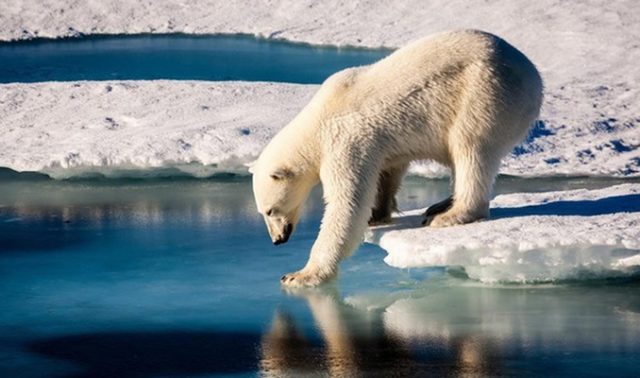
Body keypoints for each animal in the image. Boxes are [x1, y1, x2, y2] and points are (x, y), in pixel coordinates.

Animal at [252, 29, 544, 286]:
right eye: (263, 212)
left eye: (270, 210)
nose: (277, 239)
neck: (317, 121)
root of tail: (533, 76)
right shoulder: (378, 143)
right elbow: (387, 171)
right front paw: (377, 214)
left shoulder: (345, 141)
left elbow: (347, 204)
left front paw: (300, 275)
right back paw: (441, 204)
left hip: (485, 93)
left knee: (470, 149)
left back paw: (450, 214)